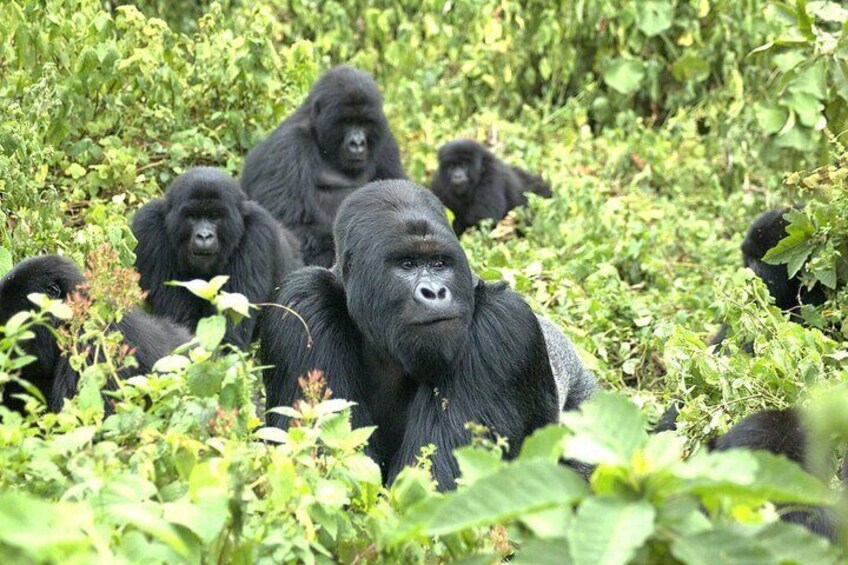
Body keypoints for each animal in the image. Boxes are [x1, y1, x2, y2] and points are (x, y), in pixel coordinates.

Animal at [132, 165, 302, 348]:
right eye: (193, 216)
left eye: (215, 216)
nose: (204, 236)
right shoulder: (148, 227)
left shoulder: (258, 232)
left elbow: (229, 334)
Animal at [242, 65, 408, 268]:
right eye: (347, 121)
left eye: (364, 122)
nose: (358, 143)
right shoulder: (285, 148)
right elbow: (294, 227)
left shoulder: (386, 141)